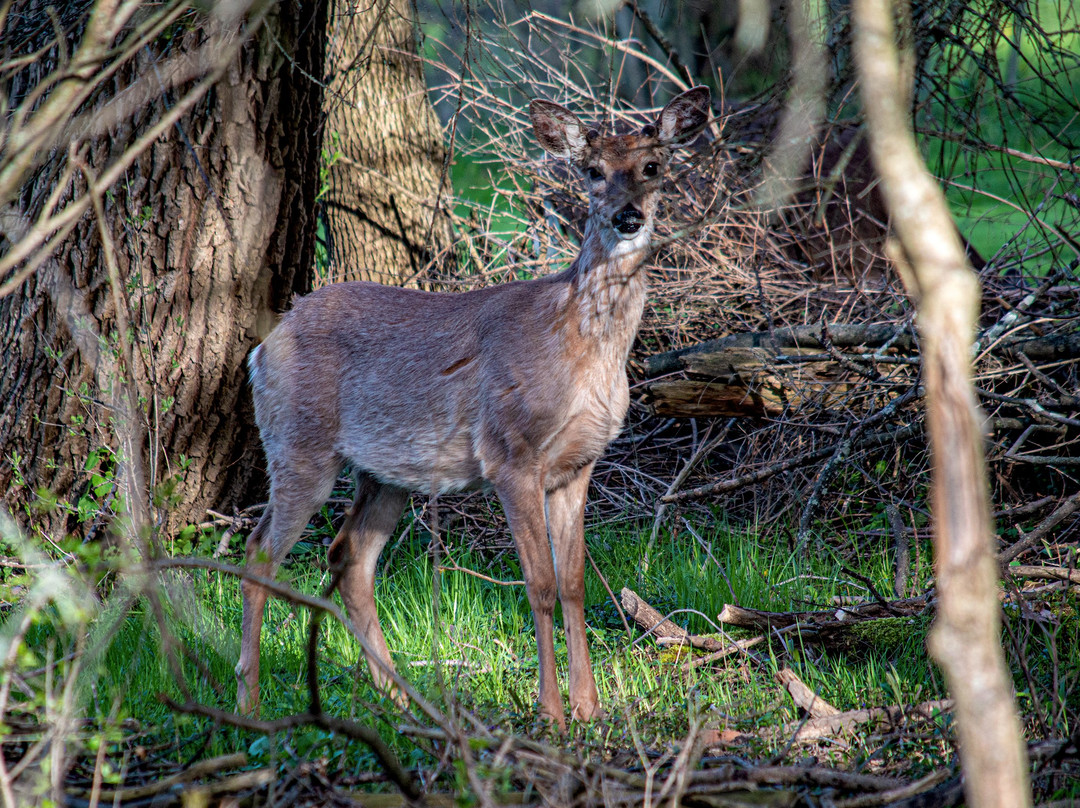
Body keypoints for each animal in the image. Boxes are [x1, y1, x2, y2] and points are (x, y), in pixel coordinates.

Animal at [235, 85, 708, 730]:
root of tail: (264, 347)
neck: (580, 346)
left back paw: (407, 701)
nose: (627, 217)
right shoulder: (511, 453)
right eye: (592, 170)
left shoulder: (578, 464)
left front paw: (590, 708)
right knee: (260, 552)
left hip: (387, 473)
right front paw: (552, 713)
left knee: (348, 555)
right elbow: (538, 583)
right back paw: (252, 703)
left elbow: (575, 581)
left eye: (654, 167)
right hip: (298, 443)